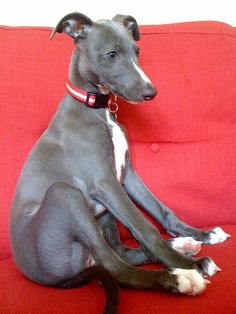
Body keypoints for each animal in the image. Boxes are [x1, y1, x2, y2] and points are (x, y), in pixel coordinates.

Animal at [10, 12, 230, 314]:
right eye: (112, 55)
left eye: (137, 51)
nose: (151, 92)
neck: (97, 109)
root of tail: (48, 278)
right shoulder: (105, 183)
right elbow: (146, 227)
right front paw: (190, 266)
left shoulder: (127, 176)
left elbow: (161, 211)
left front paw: (202, 234)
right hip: (65, 195)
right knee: (115, 266)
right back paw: (179, 277)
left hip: (102, 216)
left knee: (121, 250)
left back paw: (184, 243)